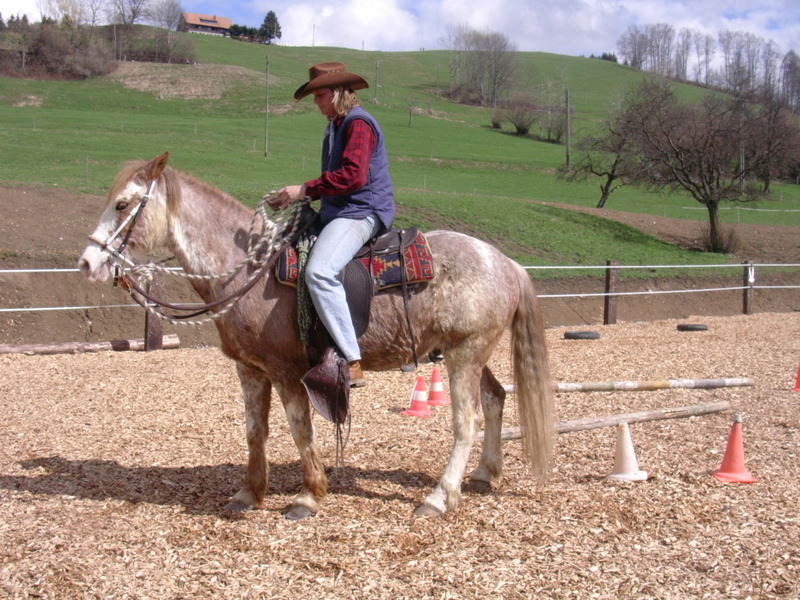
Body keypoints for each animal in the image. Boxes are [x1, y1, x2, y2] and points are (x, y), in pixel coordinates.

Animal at [78, 152, 555, 520]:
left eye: (122, 204)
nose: (86, 263)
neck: (252, 270)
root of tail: (504, 261)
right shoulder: (250, 371)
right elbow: (256, 431)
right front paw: (249, 493)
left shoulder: (287, 372)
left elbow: (299, 428)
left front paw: (308, 495)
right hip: (470, 354)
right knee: (495, 400)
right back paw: (485, 474)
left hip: (464, 355)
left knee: (466, 420)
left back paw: (438, 498)